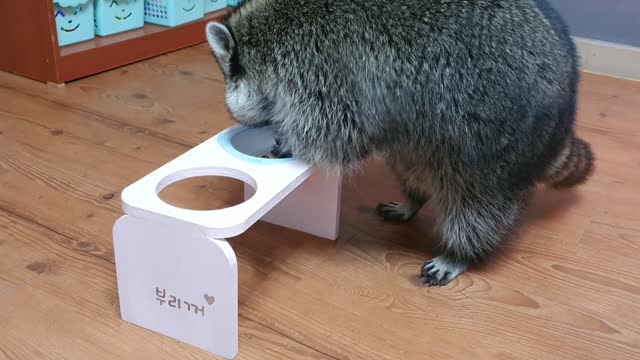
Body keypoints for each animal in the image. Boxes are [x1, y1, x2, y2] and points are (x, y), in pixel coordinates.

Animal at [205, 0, 596, 286]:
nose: (236, 115)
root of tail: (565, 112)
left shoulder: (319, 64)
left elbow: (338, 130)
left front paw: (289, 143)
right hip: (421, 139)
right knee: (413, 165)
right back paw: (414, 199)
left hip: (498, 142)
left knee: (478, 203)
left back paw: (462, 251)